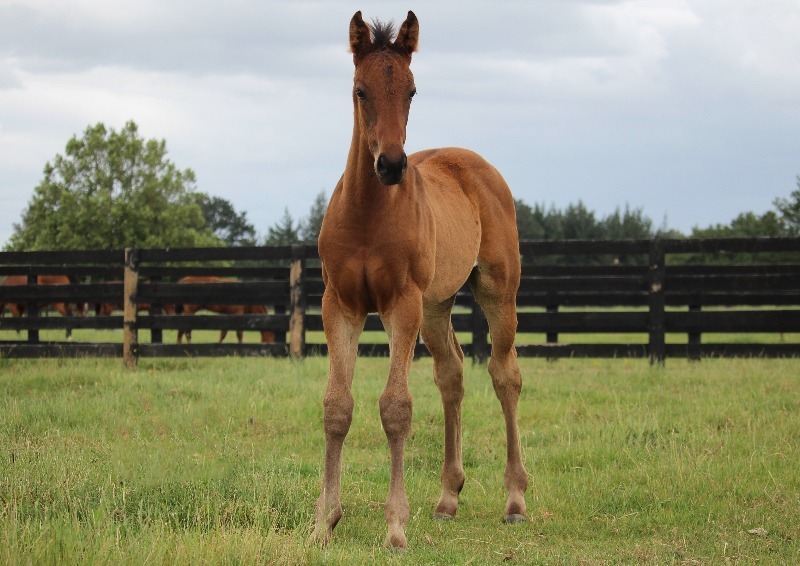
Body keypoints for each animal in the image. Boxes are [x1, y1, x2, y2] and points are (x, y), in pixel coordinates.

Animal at [311, 12, 528, 549]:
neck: (368, 215)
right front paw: (325, 521)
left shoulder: (400, 304)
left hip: (496, 293)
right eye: (360, 89)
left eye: (411, 90)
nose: (391, 164)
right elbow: (337, 406)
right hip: (436, 305)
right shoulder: (339, 305)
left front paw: (395, 526)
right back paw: (448, 498)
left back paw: (515, 500)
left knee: (505, 375)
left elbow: (395, 407)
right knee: (452, 375)